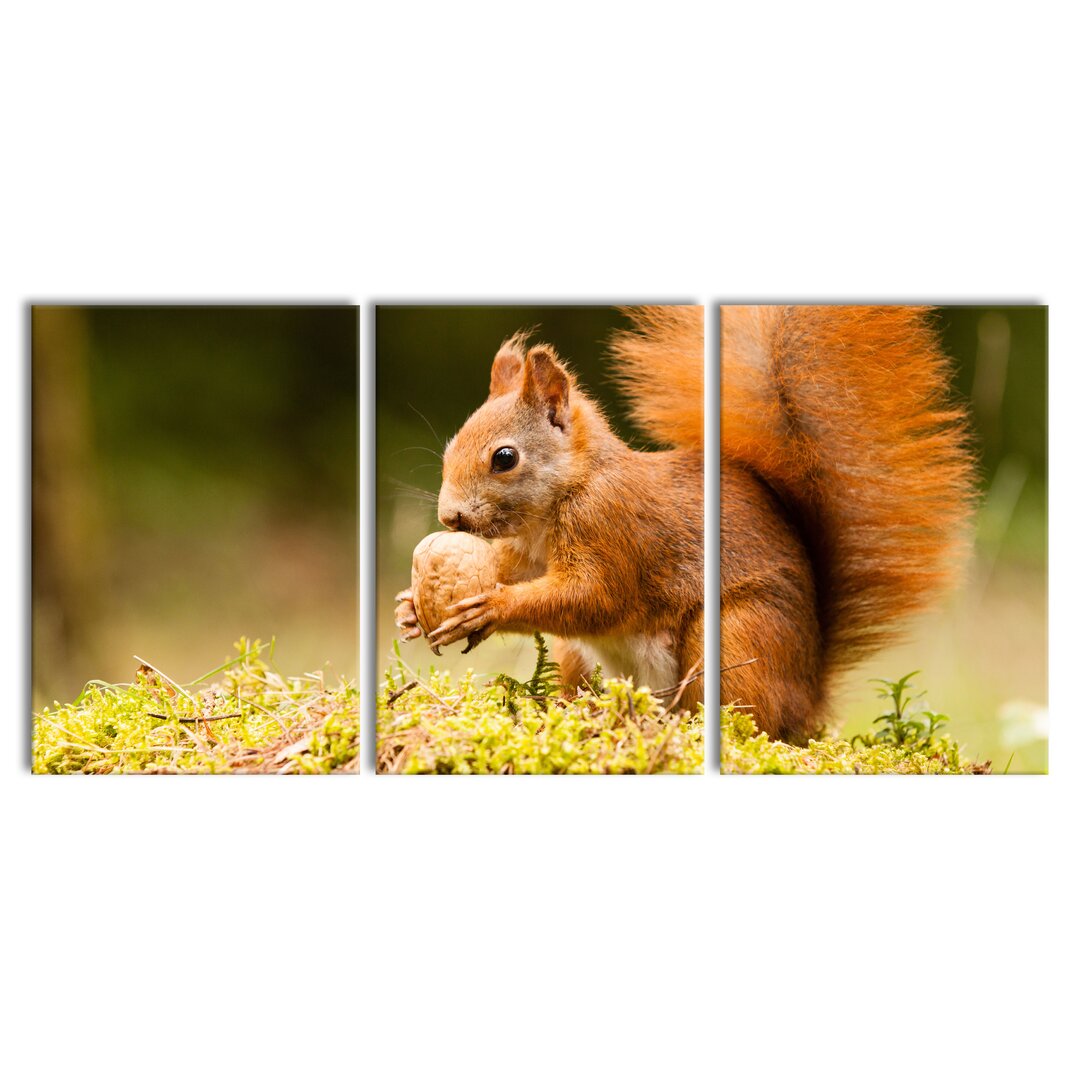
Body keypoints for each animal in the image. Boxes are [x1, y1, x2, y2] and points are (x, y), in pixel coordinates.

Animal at [393, 306, 704, 708]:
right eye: (449, 451)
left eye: (504, 458)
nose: (450, 517)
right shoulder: (523, 553)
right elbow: (511, 573)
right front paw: (409, 608)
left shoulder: (605, 519)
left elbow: (595, 597)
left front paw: (494, 607)